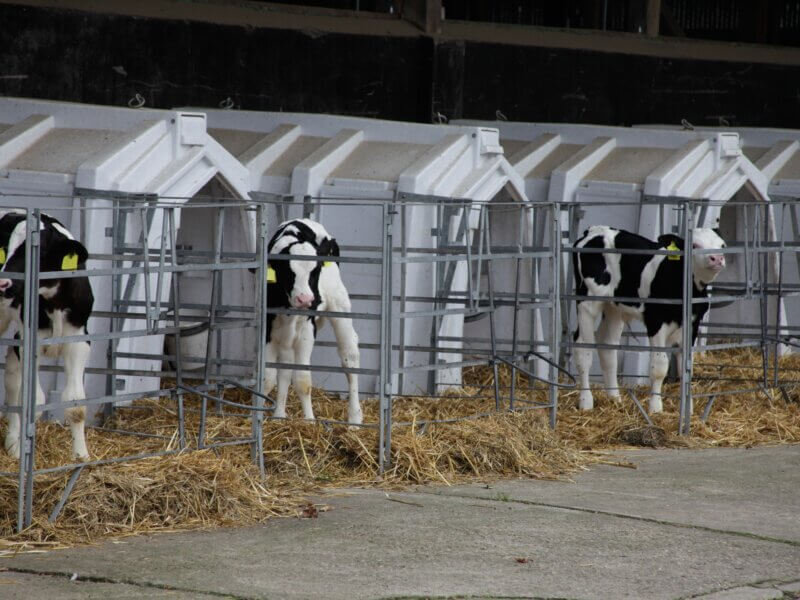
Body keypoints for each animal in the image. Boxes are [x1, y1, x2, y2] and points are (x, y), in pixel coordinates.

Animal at [0, 213, 93, 462]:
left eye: (40, 253)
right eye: (4, 248)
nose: (3, 282)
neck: (54, 302)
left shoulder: (78, 341)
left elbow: (75, 403)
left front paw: (80, 455)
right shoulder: (30, 341)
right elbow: (32, 401)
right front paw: (24, 449)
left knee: (12, 378)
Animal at [262, 219, 362, 422]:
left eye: (315, 272)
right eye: (287, 272)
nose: (306, 299)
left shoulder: (307, 330)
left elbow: (302, 379)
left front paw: (309, 421)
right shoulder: (268, 328)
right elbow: (269, 377)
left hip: (339, 305)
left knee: (350, 357)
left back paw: (355, 419)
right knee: (285, 369)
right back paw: (279, 415)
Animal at [576, 225, 724, 412]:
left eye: (722, 245)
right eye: (694, 245)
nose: (717, 258)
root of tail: (595, 230)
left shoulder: (693, 322)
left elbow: (686, 367)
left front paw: (687, 409)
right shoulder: (656, 320)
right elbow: (659, 366)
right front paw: (655, 407)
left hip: (613, 307)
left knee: (608, 346)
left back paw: (615, 398)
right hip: (588, 301)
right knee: (583, 349)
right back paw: (585, 401)